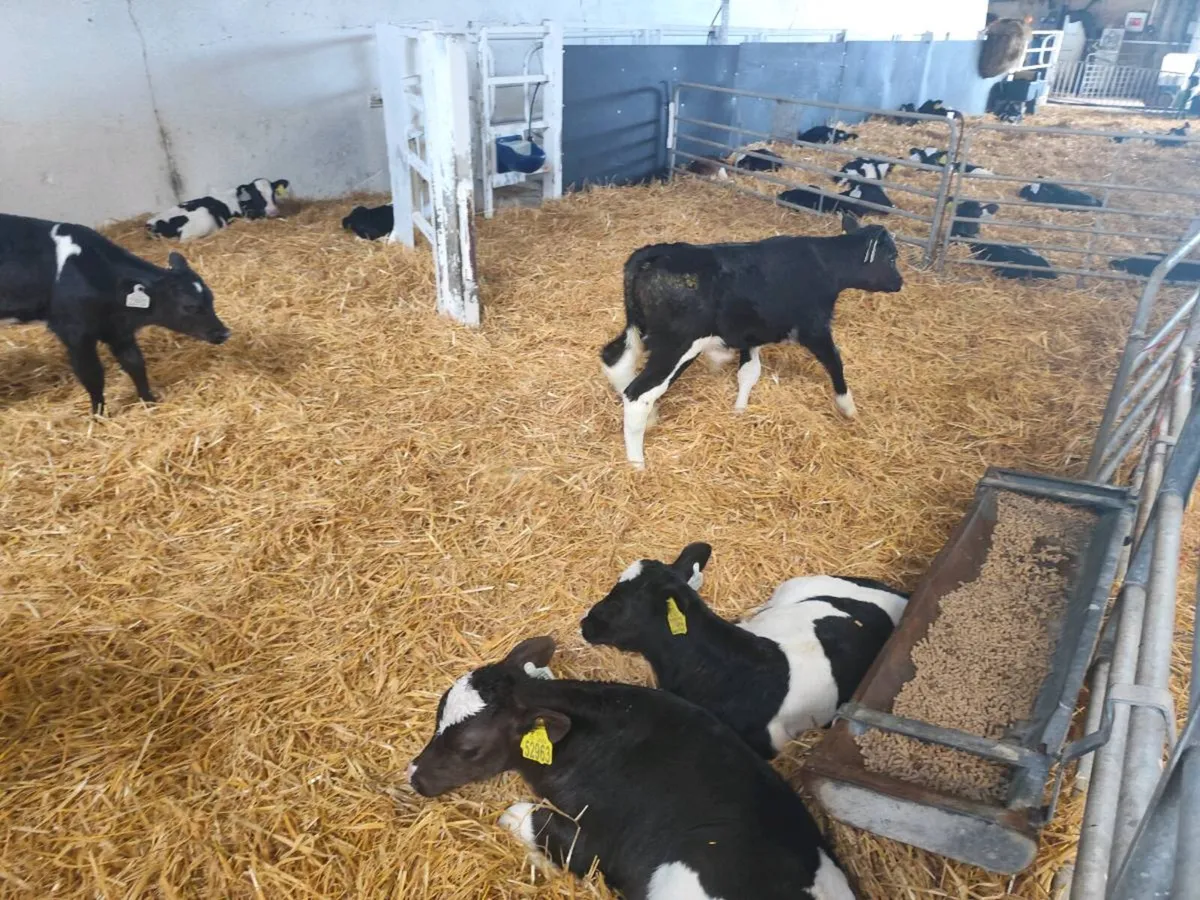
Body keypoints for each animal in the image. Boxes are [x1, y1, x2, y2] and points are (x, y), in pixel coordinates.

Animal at [0, 213, 230, 413]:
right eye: (189, 306)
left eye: (211, 299)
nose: (224, 332)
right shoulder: (74, 332)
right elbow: (92, 375)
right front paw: (98, 416)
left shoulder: (118, 329)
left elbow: (135, 364)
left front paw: (150, 402)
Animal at [599, 216, 904, 468]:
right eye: (891, 257)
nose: (899, 283)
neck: (824, 265)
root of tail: (652, 254)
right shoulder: (813, 328)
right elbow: (835, 362)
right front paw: (848, 407)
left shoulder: (751, 333)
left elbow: (749, 372)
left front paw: (739, 409)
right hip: (678, 345)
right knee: (639, 393)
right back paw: (637, 464)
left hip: (636, 328)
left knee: (615, 360)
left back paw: (650, 420)